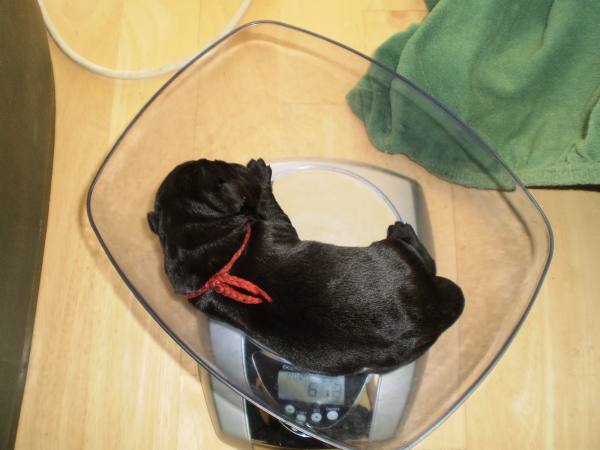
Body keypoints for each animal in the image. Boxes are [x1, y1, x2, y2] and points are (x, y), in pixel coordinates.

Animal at [147, 158, 464, 375]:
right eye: (224, 166)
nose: (238, 163)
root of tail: (435, 310)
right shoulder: (276, 224)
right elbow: (270, 203)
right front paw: (260, 173)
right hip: (395, 253)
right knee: (427, 259)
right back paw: (404, 231)